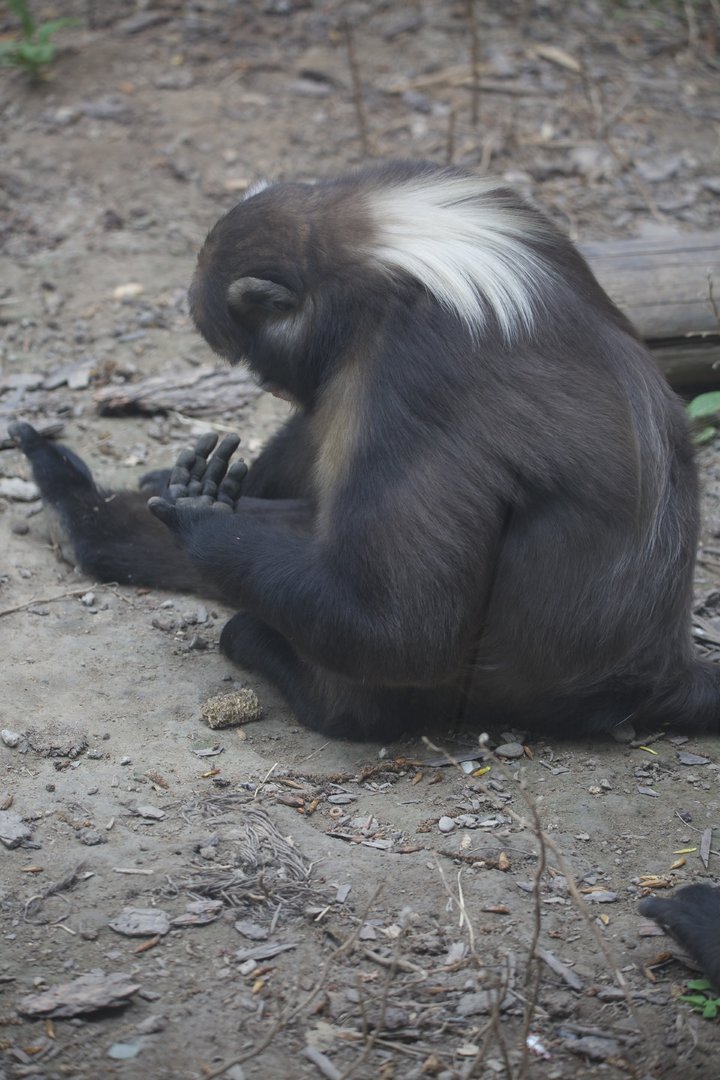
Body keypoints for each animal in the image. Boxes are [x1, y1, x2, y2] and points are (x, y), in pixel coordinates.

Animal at [9, 160, 720, 740]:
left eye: (245, 350)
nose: (260, 380)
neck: (372, 257)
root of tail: (655, 674)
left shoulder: (415, 365)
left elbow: (403, 630)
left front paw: (200, 518)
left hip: (462, 690)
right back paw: (84, 511)